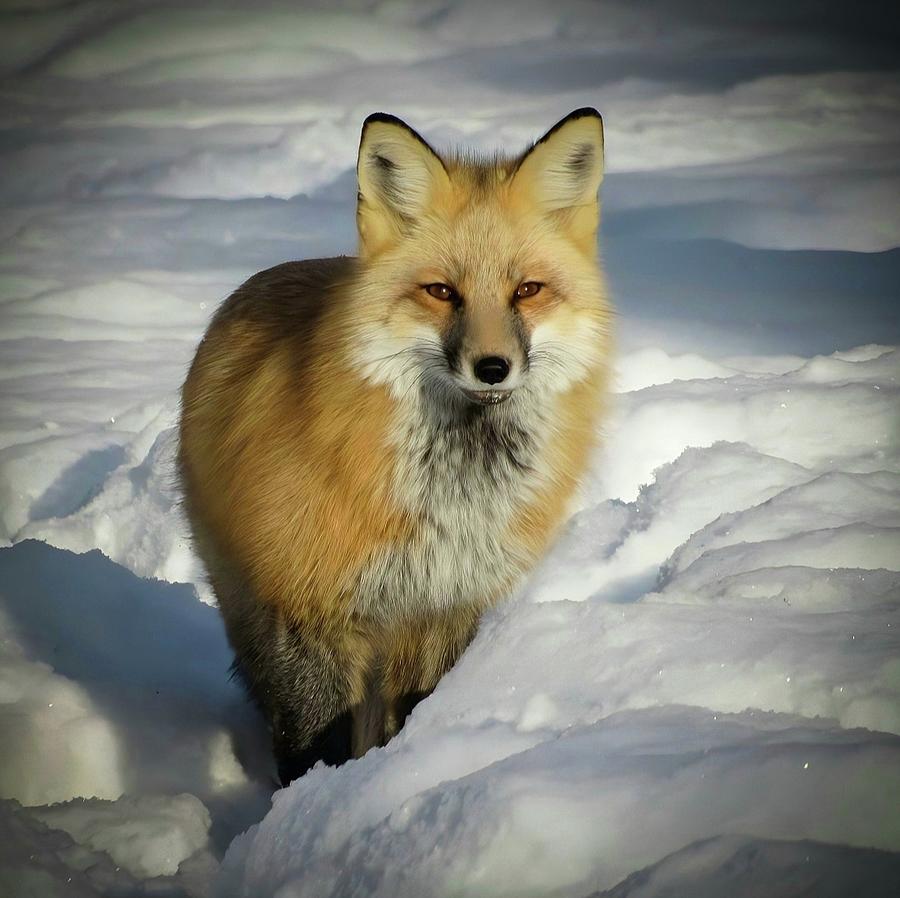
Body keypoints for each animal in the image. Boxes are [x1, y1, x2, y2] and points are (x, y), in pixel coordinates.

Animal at [176, 107, 612, 784]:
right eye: (441, 292)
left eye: (527, 290)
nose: (493, 368)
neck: (448, 500)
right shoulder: (309, 609)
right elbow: (312, 743)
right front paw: (309, 805)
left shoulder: (444, 608)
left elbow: (409, 717)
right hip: (250, 602)